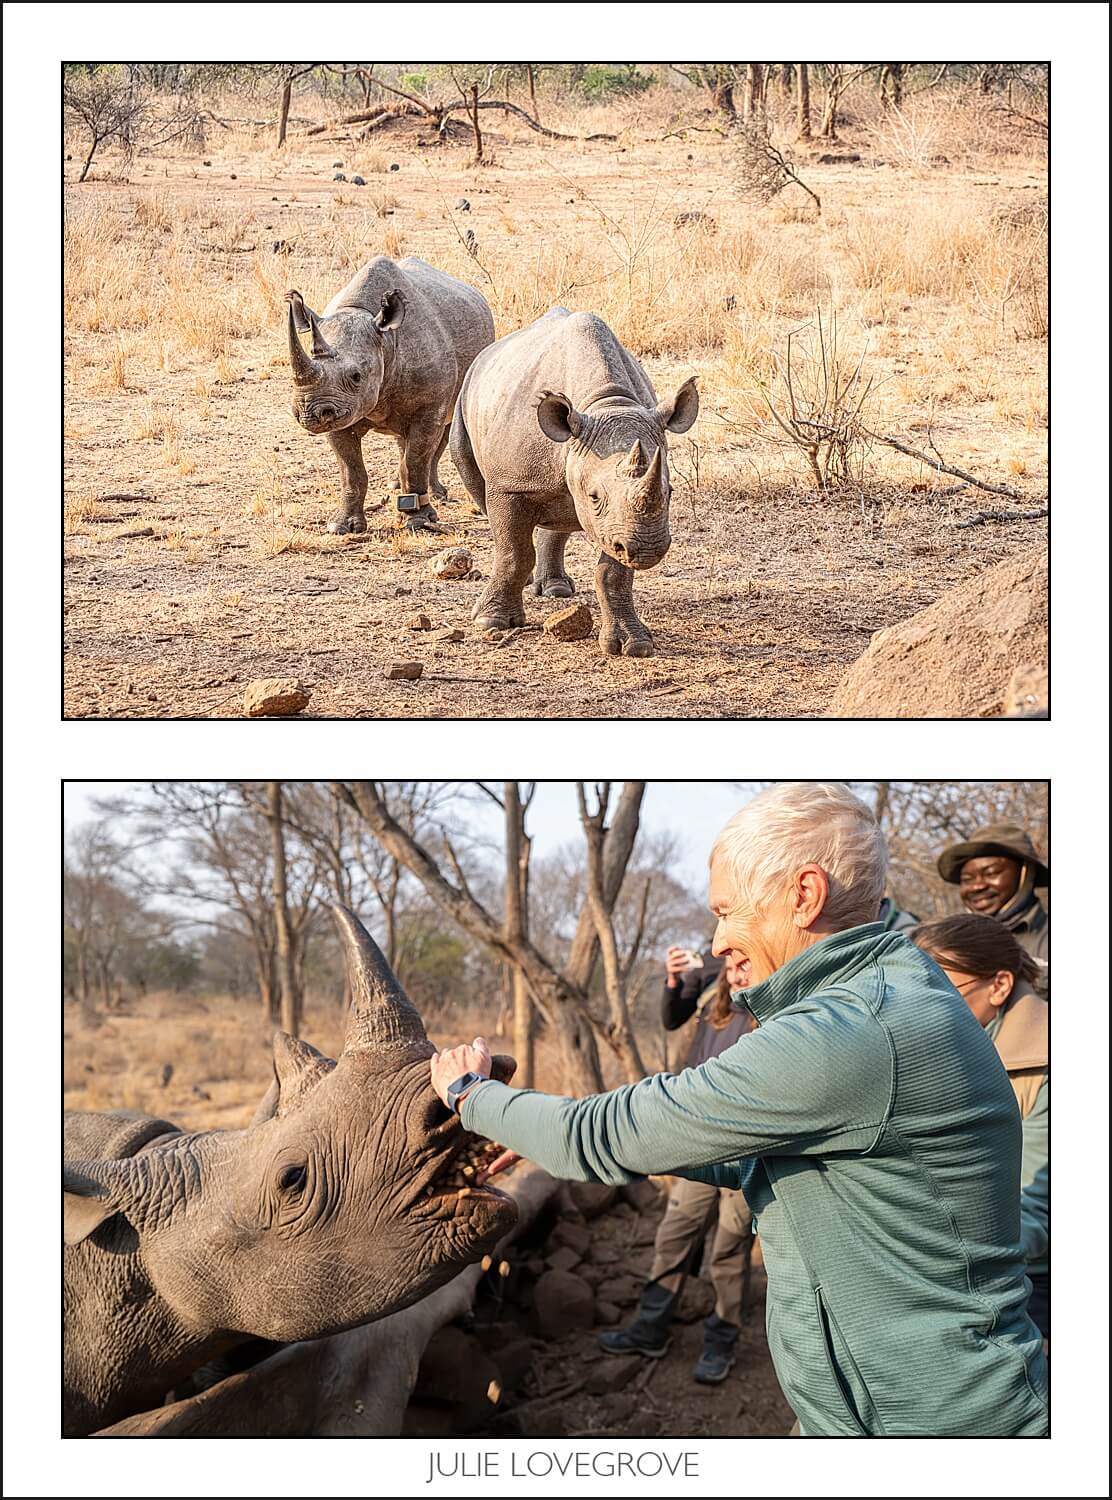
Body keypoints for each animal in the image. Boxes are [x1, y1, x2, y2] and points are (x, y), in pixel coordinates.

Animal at [285, 256, 495, 533]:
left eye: (356, 376)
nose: (309, 413)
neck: (383, 340)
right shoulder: (340, 415)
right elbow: (351, 470)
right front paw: (342, 526)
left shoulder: (428, 407)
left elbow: (415, 461)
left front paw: (419, 521)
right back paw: (395, 484)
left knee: (442, 431)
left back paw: (437, 494)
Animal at [449, 308, 698, 656]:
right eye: (594, 496)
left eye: (670, 492)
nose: (649, 549)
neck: (606, 404)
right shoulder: (510, 484)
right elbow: (513, 552)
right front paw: (491, 622)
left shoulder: (621, 526)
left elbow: (613, 572)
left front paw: (633, 644)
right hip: (465, 397)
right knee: (476, 484)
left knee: (562, 517)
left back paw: (555, 590)